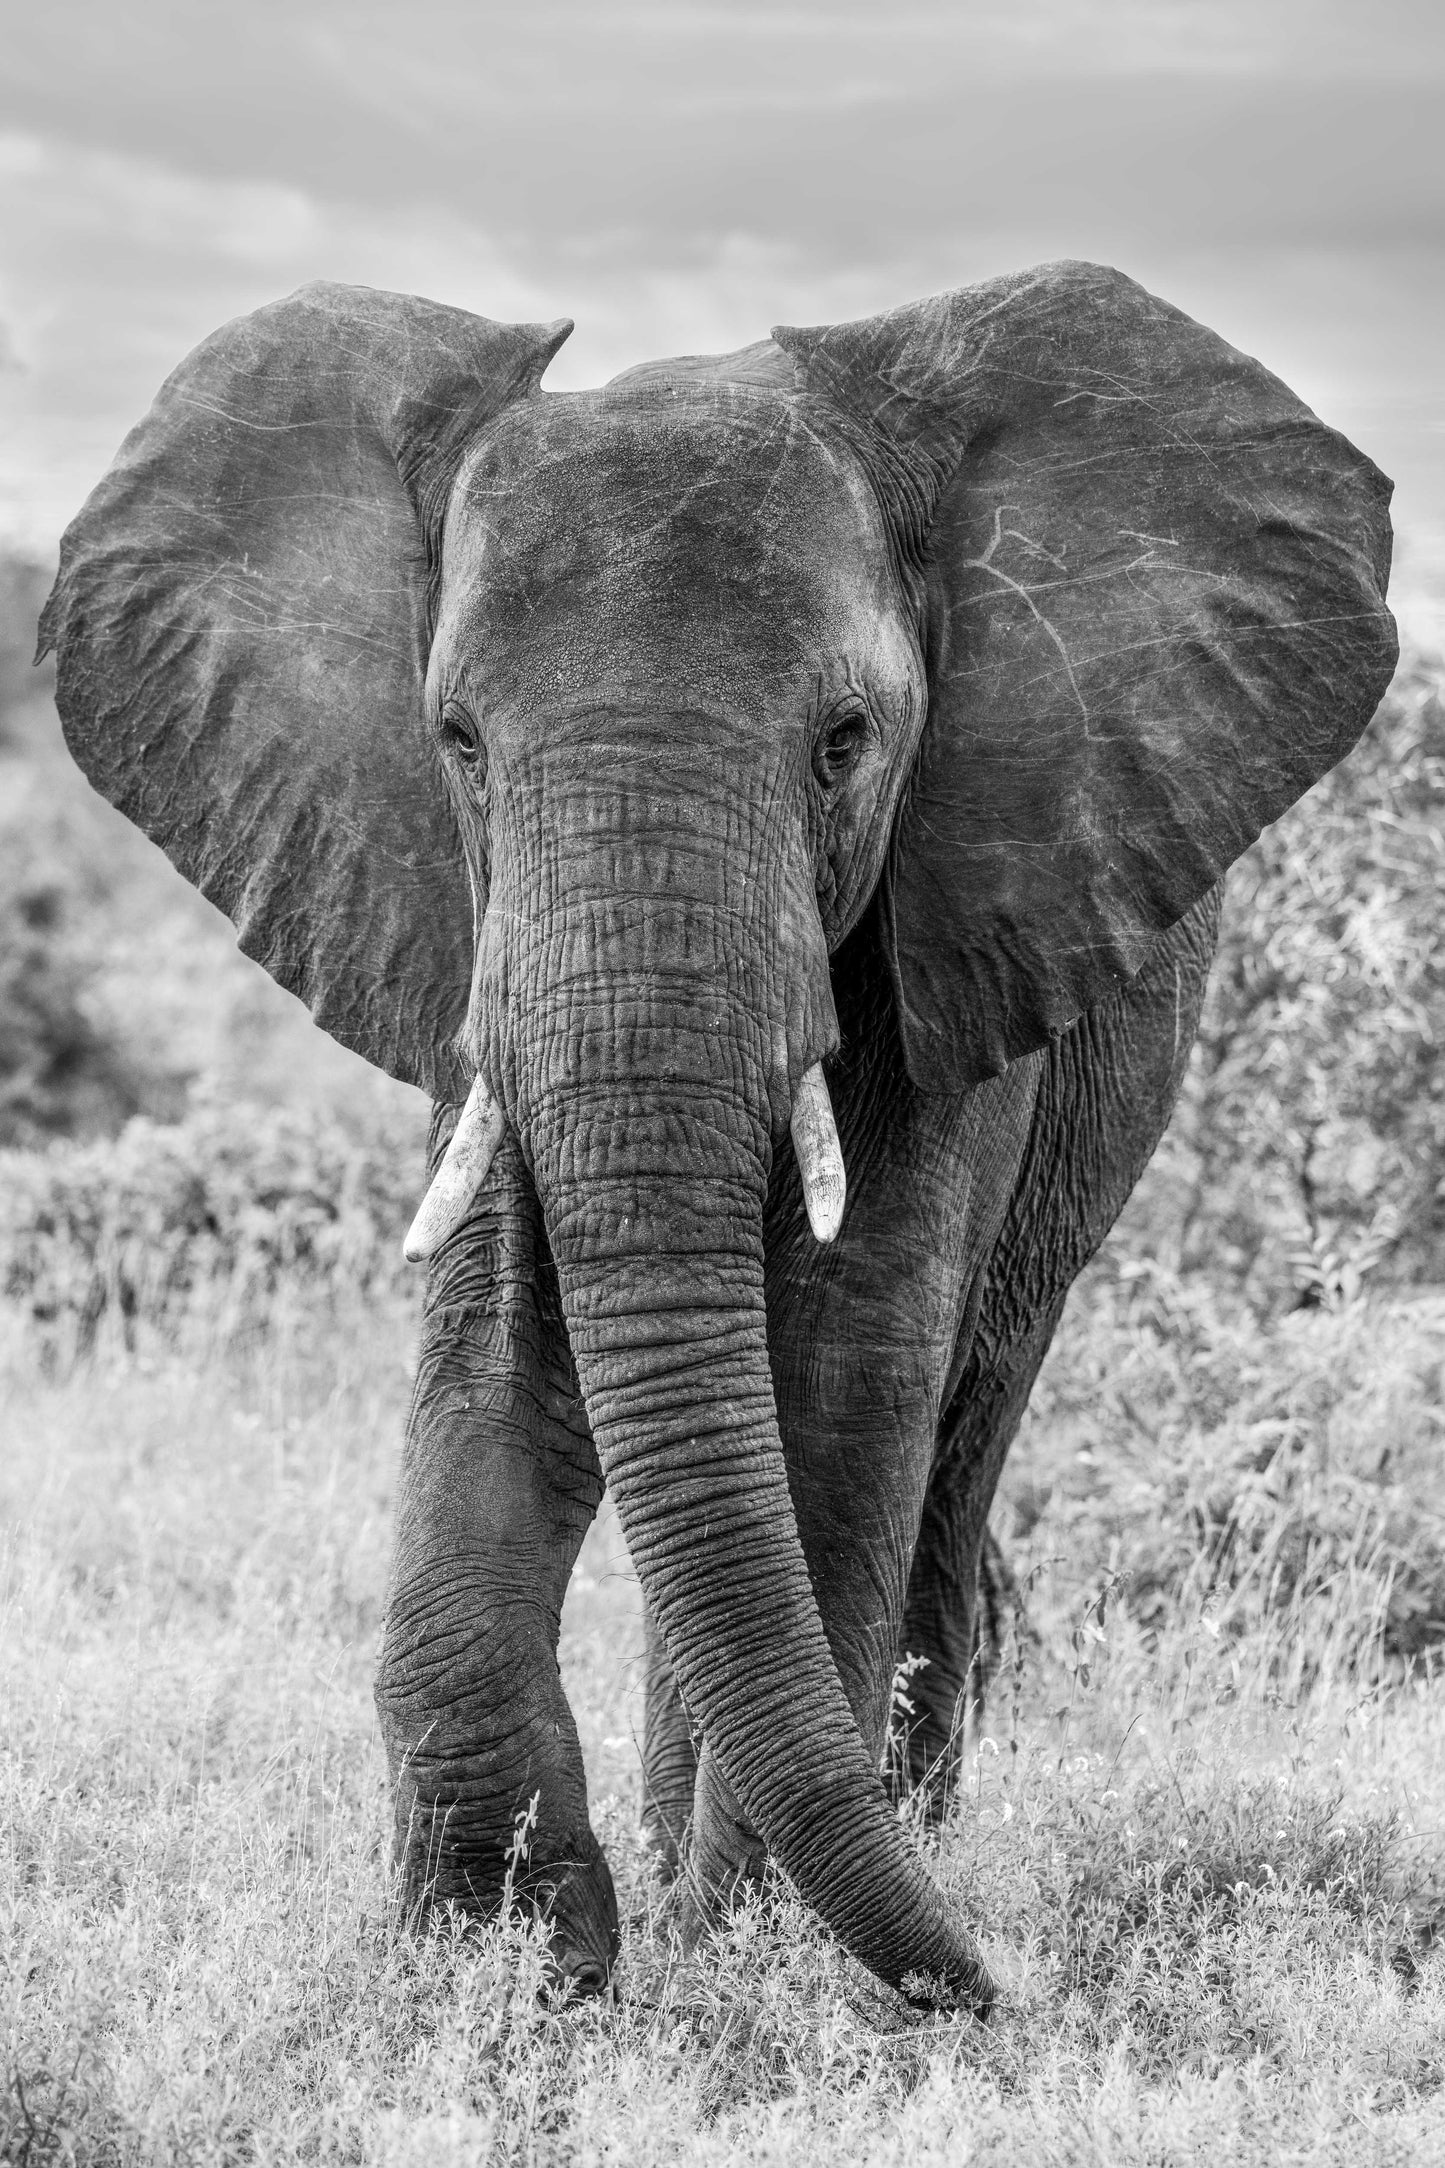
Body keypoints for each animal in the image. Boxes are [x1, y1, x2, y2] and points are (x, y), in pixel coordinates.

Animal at [39, 262, 1395, 2017]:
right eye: (457, 744)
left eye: (845, 740)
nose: (998, 1988)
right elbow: (504, 1336)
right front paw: (502, 1970)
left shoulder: (949, 917)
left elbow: (845, 1362)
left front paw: (733, 1970)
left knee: (957, 1426)